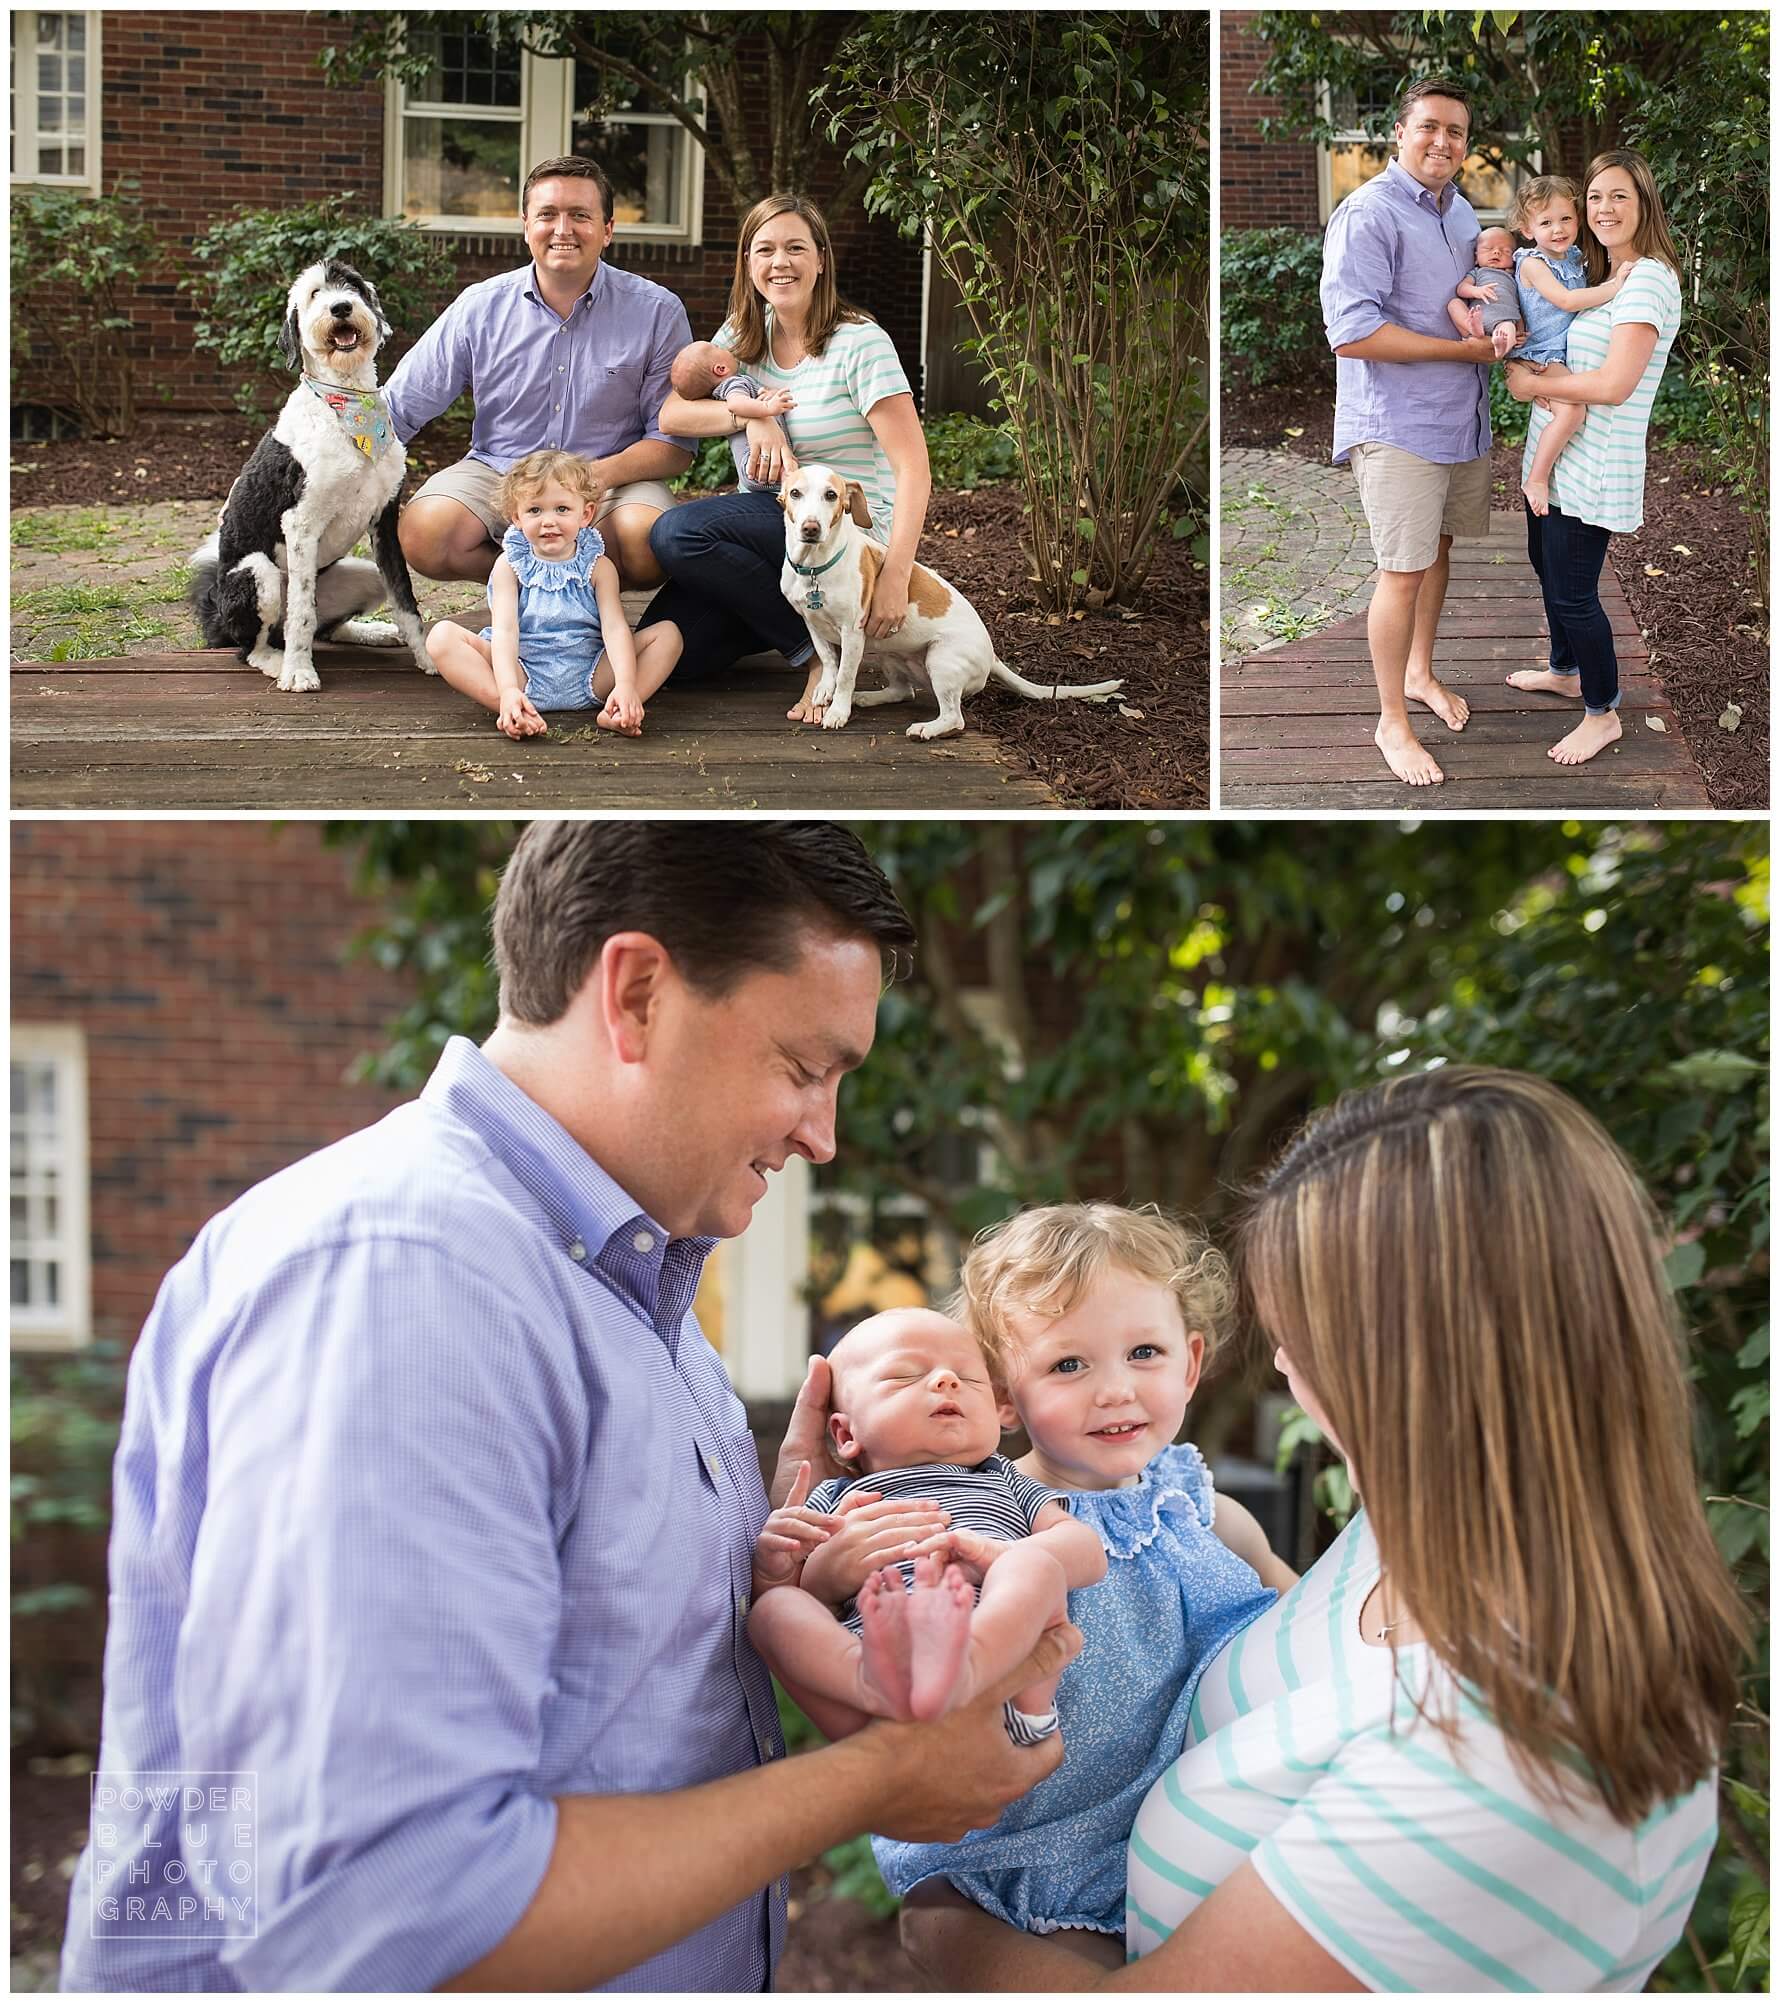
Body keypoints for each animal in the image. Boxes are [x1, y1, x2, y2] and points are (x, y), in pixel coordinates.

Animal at [189, 258, 432, 697]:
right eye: (314, 294)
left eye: (352, 286)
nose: (340, 307)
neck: (347, 402)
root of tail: (216, 615)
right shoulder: (301, 524)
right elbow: (301, 610)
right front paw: (299, 673)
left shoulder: (385, 520)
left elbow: (405, 600)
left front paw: (429, 658)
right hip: (257, 573)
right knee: (255, 644)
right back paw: (276, 661)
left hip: (364, 574)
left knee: (326, 628)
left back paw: (369, 631)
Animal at [780, 464, 1121, 741]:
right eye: (795, 493)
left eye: (831, 495)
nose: (811, 528)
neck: (815, 568)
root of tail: (992, 656)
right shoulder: (812, 624)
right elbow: (828, 660)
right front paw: (825, 689)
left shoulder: (852, 632)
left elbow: (846, 675)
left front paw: (838, 710)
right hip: (887, 651)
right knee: (903, 692)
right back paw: (867, 698)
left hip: (940, 660)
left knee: (954, 718)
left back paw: (925, 729)